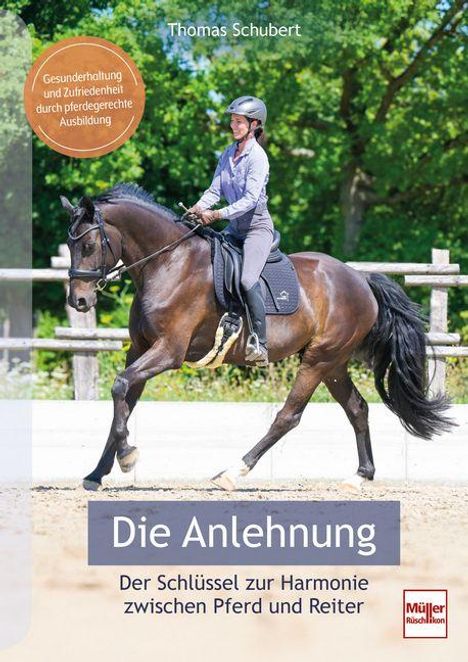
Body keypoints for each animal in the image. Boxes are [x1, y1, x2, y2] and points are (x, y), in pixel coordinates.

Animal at [61, 183, 453, 492]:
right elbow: (124, 397)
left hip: (319, 359)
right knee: (357, 408)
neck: (168, 264)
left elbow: (120, 387)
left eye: (90, 245)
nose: (78, 301)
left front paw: (127, 456)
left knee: (288, 416)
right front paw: (98, 472)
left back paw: (234, 471)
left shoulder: (168, 351)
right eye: (70, 243)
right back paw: (360, 476)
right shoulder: (140, 350)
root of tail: (361, 280)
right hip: (334, 364)